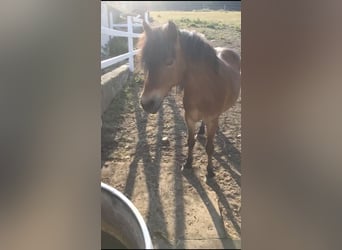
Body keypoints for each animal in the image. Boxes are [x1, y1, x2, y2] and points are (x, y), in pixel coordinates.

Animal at [137, 21, 240, 178]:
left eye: (169, 62)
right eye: (148, 62)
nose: (146, 103)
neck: (205, 90)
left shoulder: (212, 120)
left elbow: (210, 147)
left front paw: (210, 171)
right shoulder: (189, 118)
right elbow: (191, 141)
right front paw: (188, 163)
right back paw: (202, 131)